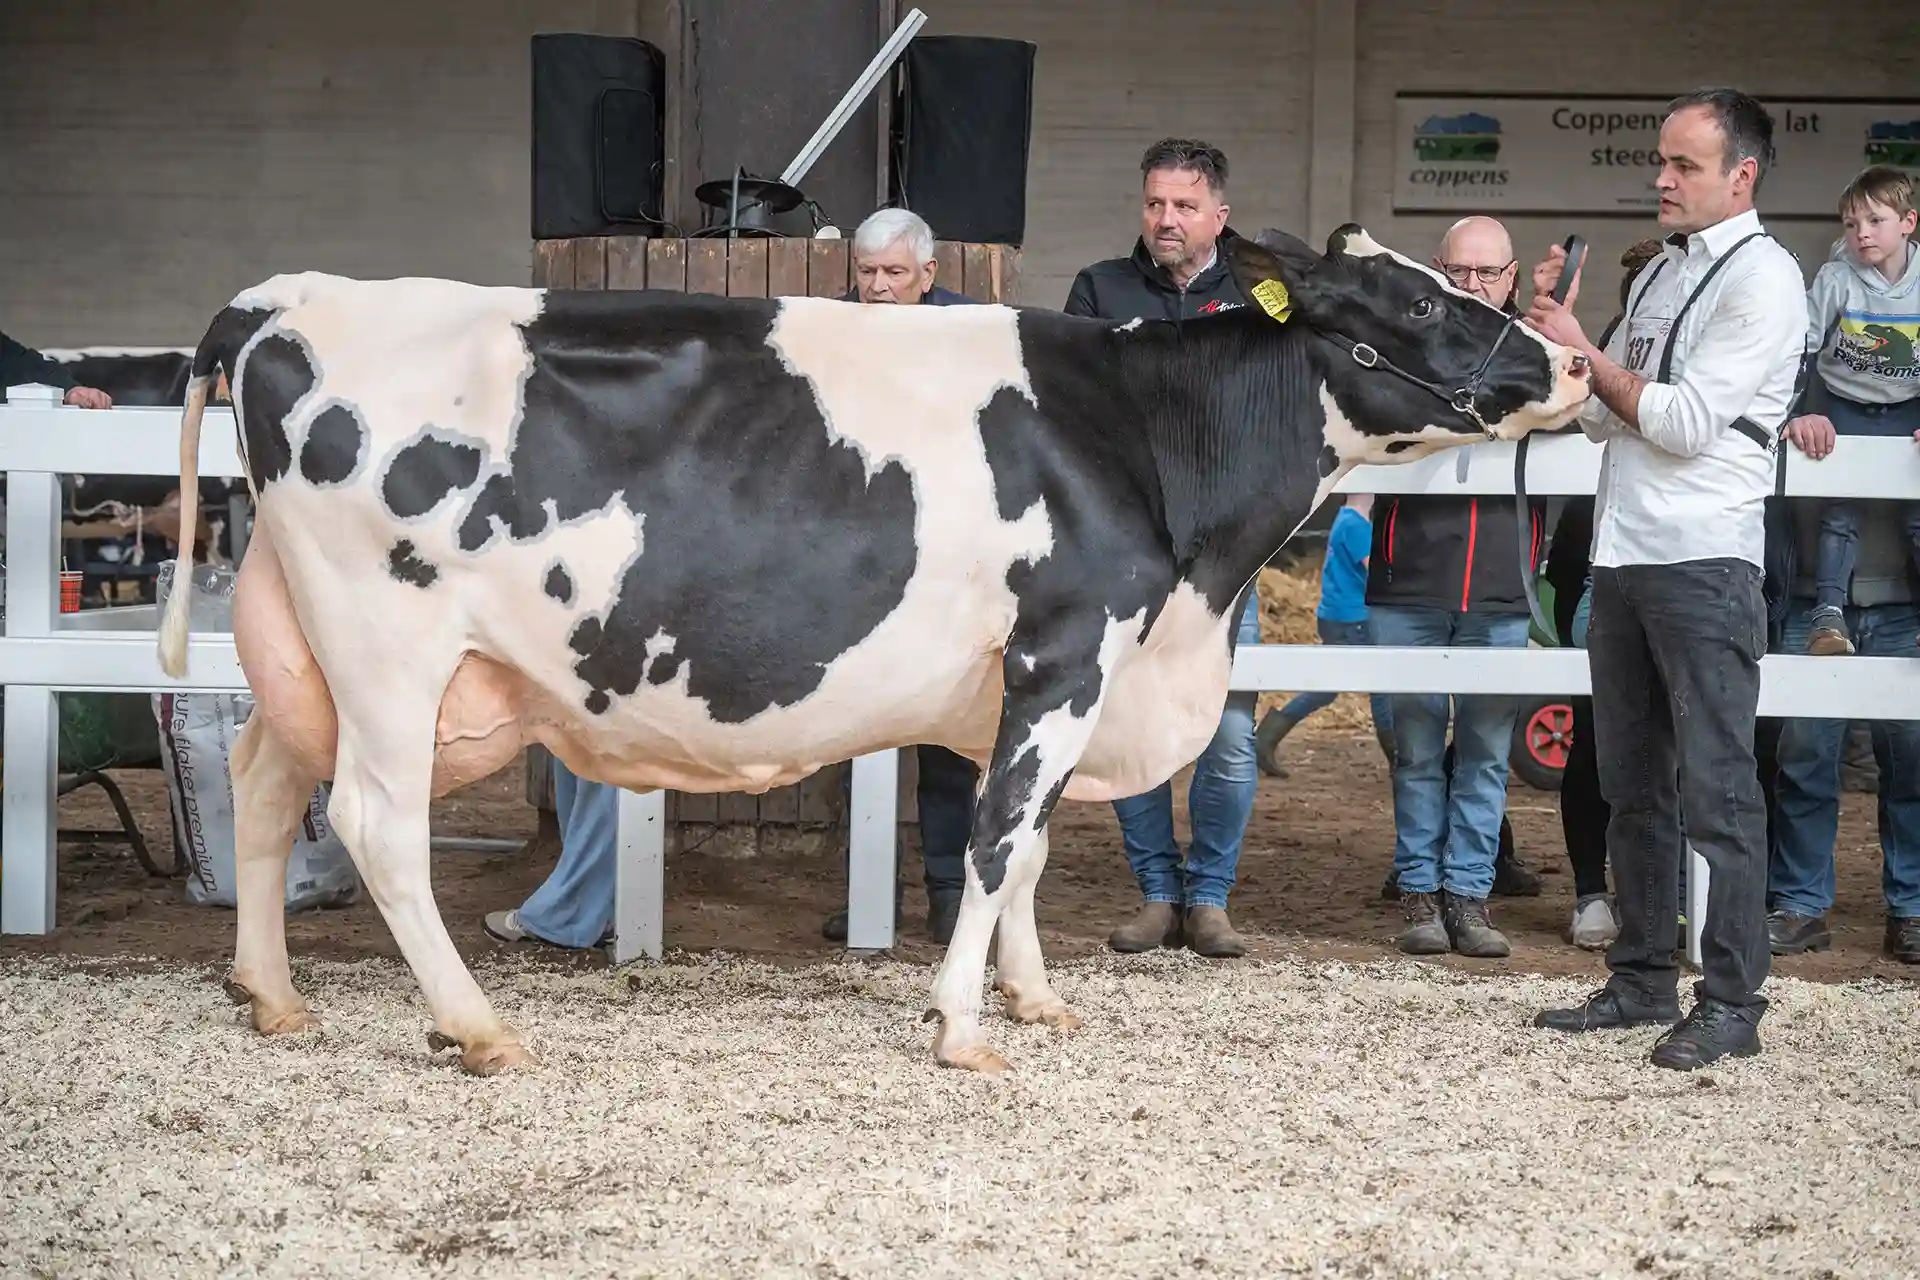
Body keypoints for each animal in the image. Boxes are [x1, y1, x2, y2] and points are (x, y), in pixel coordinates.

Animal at [157, 223, 1591, 1077]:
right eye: (1425, 300)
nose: (1571, 362)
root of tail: (286, 296)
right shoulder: (1068, 650)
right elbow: (999, 843)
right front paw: (960, 1025)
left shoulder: (1045, 683)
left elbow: (1030, 849)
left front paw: (1033, 998)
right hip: (389, 644)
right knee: (377, 821)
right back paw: (475, 1024)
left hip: (305, 647)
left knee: (265, 782)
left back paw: (271, 996)